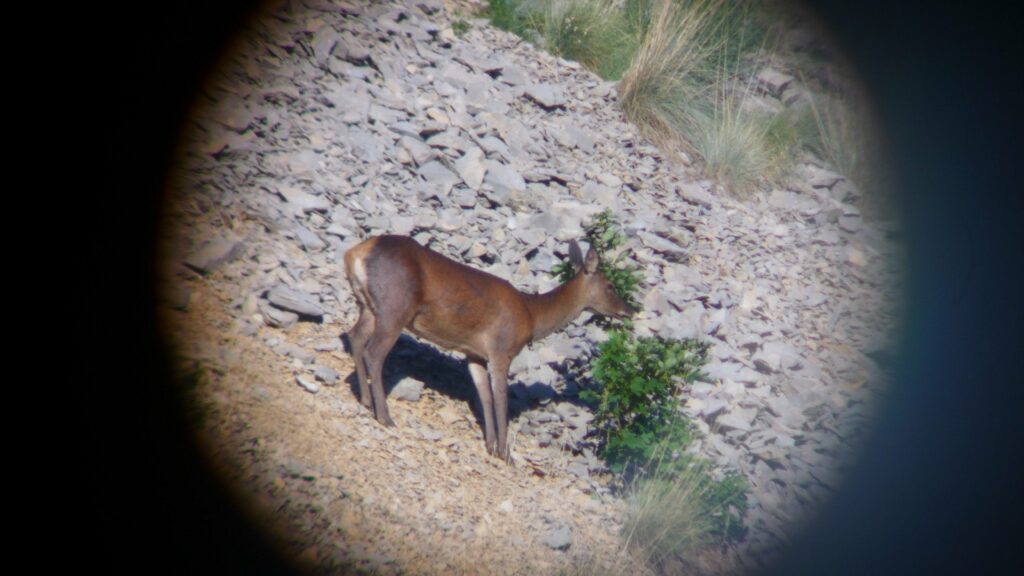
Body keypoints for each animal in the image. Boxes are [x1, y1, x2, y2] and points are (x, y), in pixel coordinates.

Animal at [342, 233, 630, 457]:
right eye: (610, 285)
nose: (629, 309)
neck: (532, 315)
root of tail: (356, 253)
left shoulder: (474, 353)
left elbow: (484, 396)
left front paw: (490, 445)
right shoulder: (502, 349)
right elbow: (501, 398)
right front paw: (504, 452)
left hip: (369, 306)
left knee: (355, 337)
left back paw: (365, 401)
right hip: (396, 306)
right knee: (374, 352)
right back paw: (385, 416)